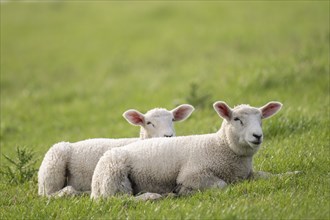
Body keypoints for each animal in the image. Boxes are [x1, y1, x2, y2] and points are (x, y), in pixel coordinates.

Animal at [90, 100, 300, 200]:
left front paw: (293, 173)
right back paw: (154, 197)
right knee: (119, 200)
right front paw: (184, 191)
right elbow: (221, 185)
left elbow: (268, 175)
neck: (220, 146)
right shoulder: (193, 175)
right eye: (237, 119)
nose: (257, 136)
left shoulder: (246, 175)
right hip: (115, 177)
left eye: (261, 119)